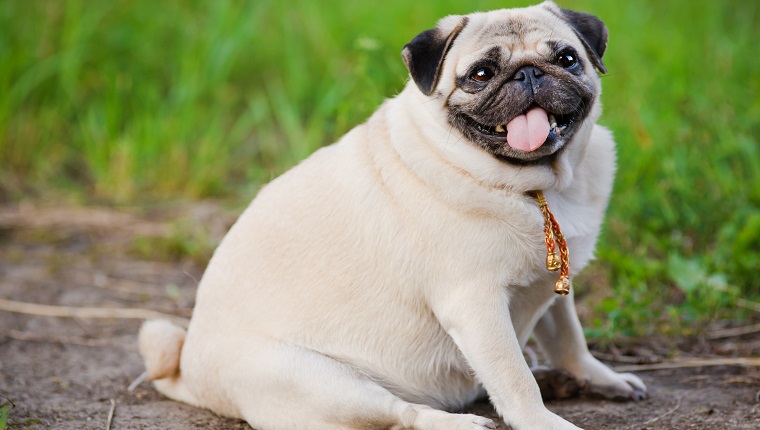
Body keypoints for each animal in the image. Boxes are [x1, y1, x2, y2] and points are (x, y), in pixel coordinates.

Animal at [140, 1, 644, 428]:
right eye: (481, 74)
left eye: (567, 59)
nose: (529, 73)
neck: (537, 188)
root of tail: (190, 374)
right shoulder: (475, 304)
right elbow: (512, 379)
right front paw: (542, 420)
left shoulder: (551, 282)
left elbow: (569, 339)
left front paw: (598, 376)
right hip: (321, 381)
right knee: (404, 413)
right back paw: (461, 421)